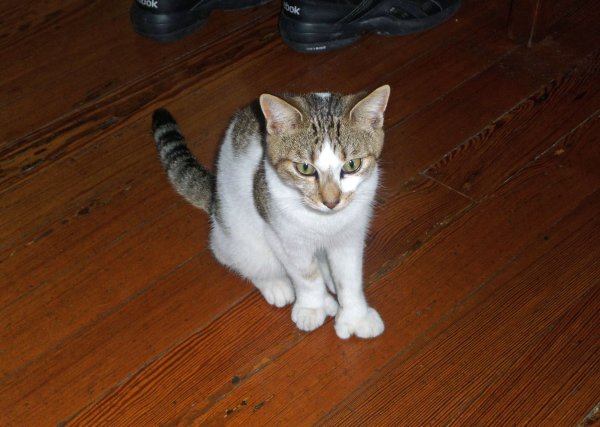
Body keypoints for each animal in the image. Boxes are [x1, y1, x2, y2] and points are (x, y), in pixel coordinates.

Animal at [152, 86, 392, 342]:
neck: (325, 221)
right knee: (236, 257)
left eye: (352, 165)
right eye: (304, 168)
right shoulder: (283, 237)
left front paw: (356, 317)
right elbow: (306, 276)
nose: (331, 202)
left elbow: (349, 278)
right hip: (237, 237)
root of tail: (214, 197)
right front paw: (312, 307)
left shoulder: (350, 236)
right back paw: (279, 285)